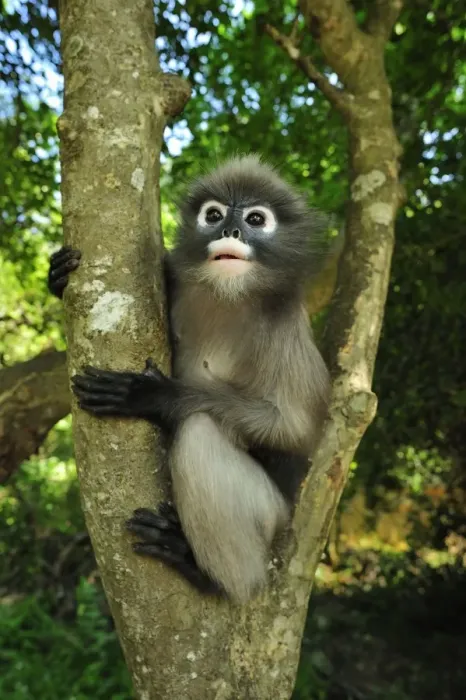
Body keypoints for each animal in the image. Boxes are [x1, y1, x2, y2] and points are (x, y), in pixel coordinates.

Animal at [48, 155, 330, 602]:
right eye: (213, 216)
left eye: (255, 219)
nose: (230, 231)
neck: (226, 296)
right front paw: (58, 277)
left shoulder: (285, 325)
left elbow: (296, 429)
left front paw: (153, 395)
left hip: (271, 516)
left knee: (200, 432)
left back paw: (203, 570)